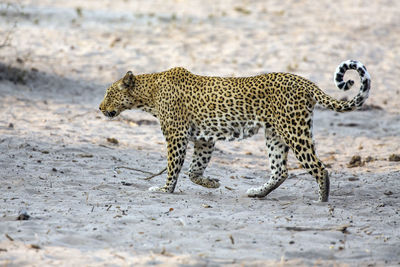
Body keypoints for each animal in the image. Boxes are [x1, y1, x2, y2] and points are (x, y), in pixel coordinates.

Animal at [98, 60, 370, 203]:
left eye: (109, 93)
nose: (100, 108)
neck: (149, 94)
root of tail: (304, 81)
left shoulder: (176, 135)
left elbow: (174, 167)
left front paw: (165, 190)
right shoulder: (204, 139)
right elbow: (194, 170)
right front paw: (211, 183)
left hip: (294, 130)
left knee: (319, 167)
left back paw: (322, 200)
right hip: (275, 135)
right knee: (280, 170)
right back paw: (258, 192)